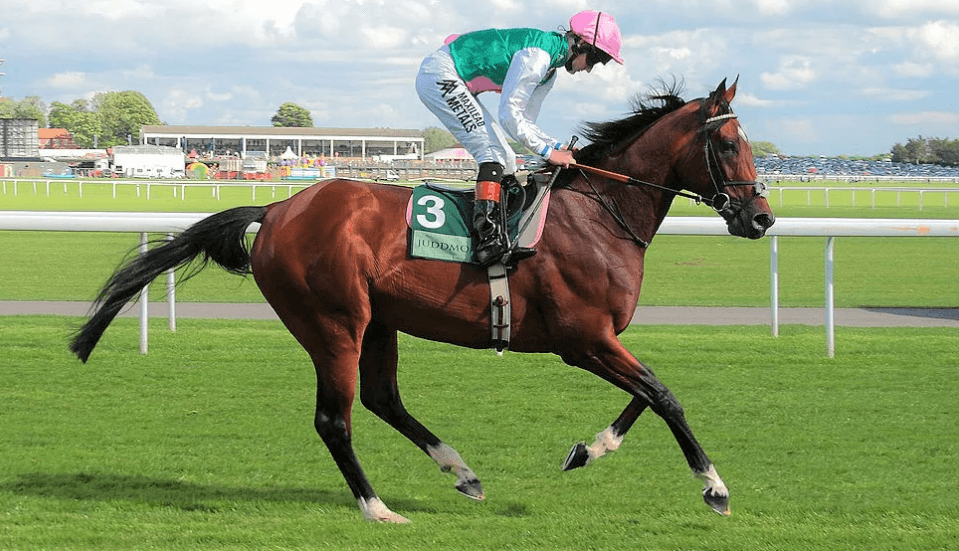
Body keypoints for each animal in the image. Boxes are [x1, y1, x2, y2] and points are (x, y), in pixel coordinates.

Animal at [71, 78, 775, 523]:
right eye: (729, 144)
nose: (762, 218)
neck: (600, 214)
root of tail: (276, 209)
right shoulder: (582, 339)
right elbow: (663, 394)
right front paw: (715, 488)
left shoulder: (597, 339)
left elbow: (648, 393)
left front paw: (586, 450)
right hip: (334, 320)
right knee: (335, 418)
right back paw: (377, 507)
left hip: (380, 319)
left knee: (382, 399)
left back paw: (461, 472)